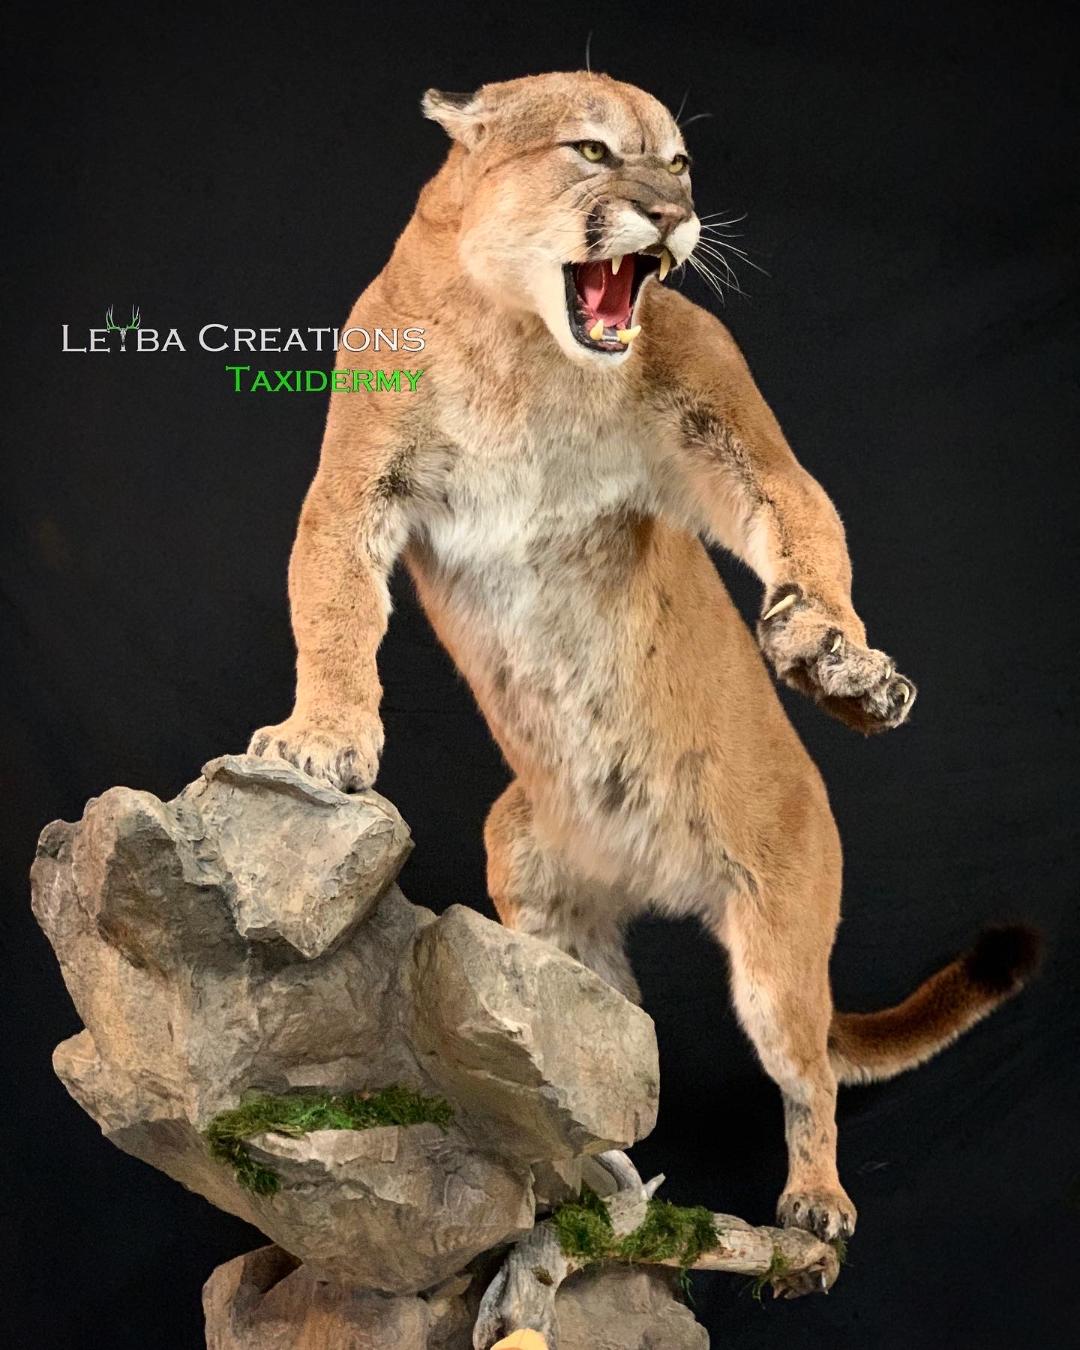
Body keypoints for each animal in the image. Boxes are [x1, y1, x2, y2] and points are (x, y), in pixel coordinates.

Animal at [248, 71, 1038, 1243]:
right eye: (590, 150)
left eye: (680, 165)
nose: (672, 217)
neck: (520, 347)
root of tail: (653, 876)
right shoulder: (358, 482)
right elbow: (331, 604)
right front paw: (321, 737)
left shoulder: (725, 418)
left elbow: (807, 522)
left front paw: (838, 661)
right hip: (534, 881)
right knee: (605, 1060)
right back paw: (591, 1183)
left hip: (780, 956)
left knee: (809, 1079)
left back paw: (815, 1206)